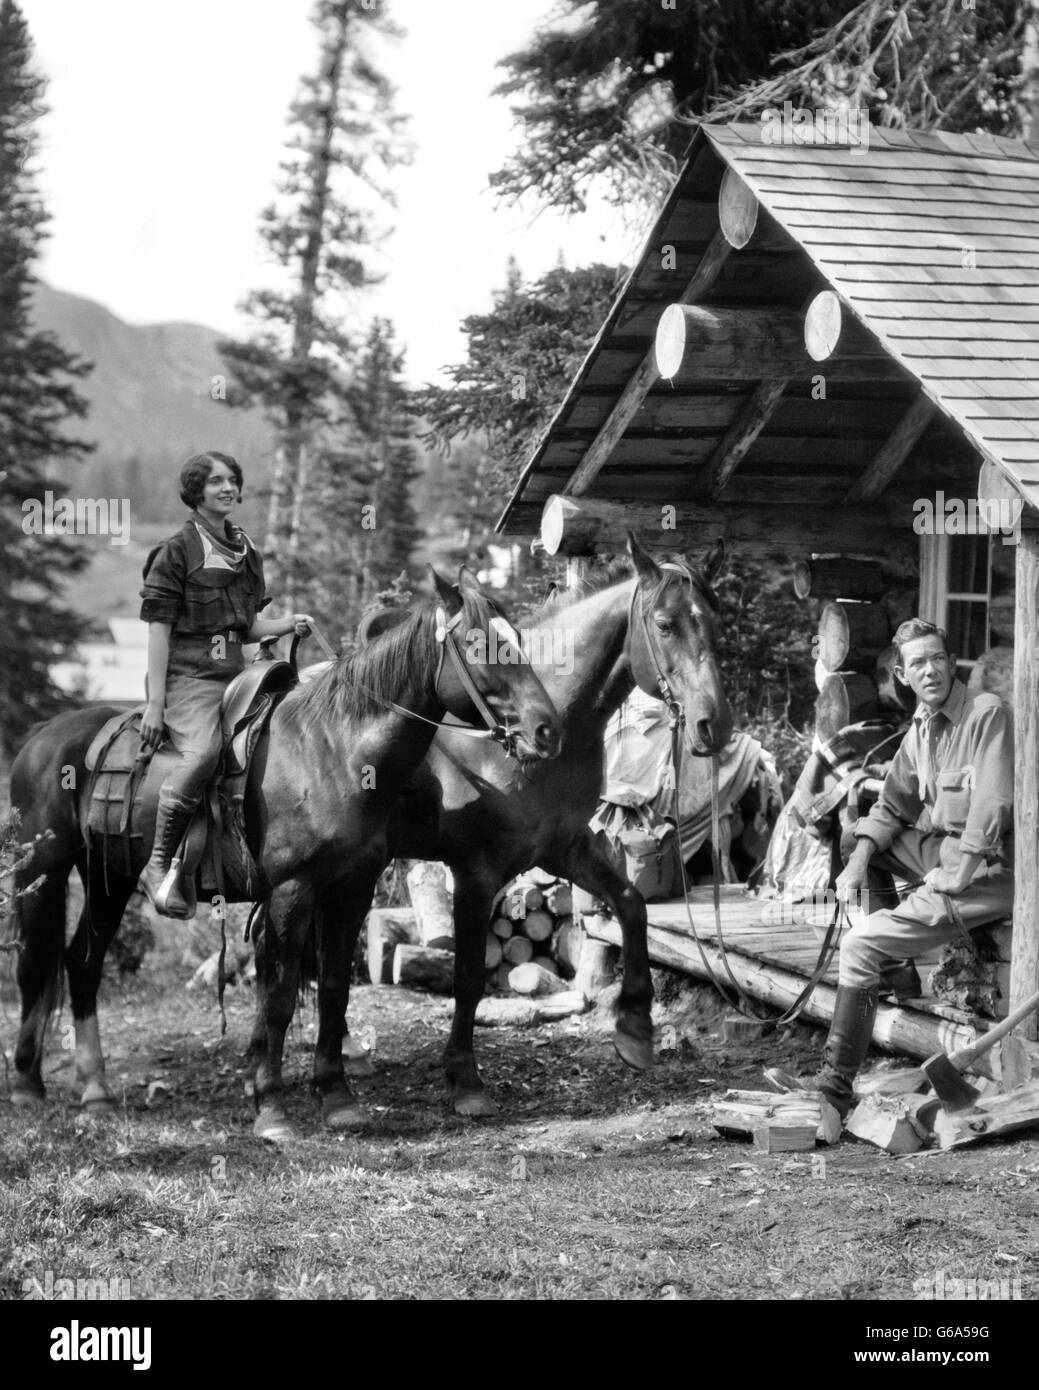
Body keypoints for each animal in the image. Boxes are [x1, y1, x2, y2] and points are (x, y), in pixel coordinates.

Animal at [8, 564, 561, 1128]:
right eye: (478, 644)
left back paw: (95, 1089)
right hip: (44, 872)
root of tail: (40, 737)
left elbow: (334, 988)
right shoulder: (293, 890)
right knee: (34, 966)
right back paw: (29, 1084)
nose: (547, 730)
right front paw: (272, 1107)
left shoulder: (351, 890)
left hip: (111, 879)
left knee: (82, 964)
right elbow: (279, 993)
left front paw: (336, 1095)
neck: (334, 752)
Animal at [304, 530, 734, 1117]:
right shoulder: (477, 872)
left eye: (713, 622)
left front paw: (635, 1028)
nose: (715, 726)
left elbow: (631, 905)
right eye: (665, 625)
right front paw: (464, 1078)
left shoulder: (566, 848)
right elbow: (467, 977)